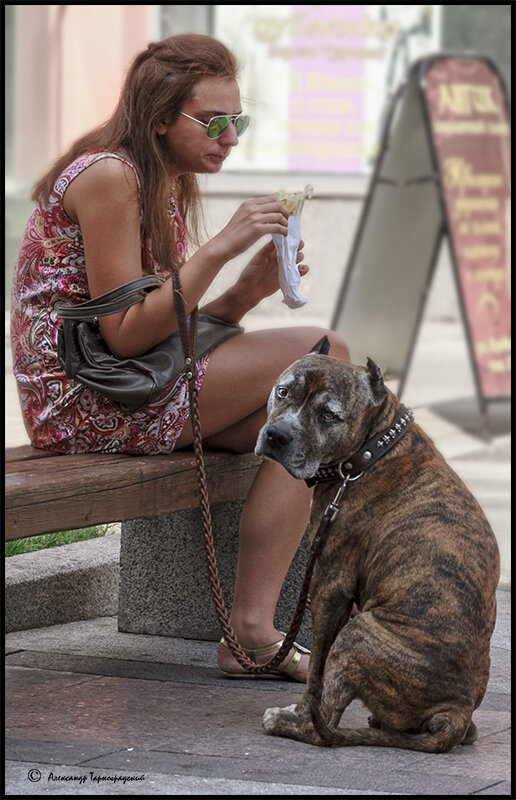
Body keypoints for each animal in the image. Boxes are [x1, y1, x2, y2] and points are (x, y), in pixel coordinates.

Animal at [255, 340, 500, 752]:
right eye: (284, 391)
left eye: (328, 415)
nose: (277, 435)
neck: (370, 449)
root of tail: (457, 710)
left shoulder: (329, 589)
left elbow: (317, 673)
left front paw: (299, 712)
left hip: (358, 633)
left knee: (325, 724)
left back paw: (289, 724)